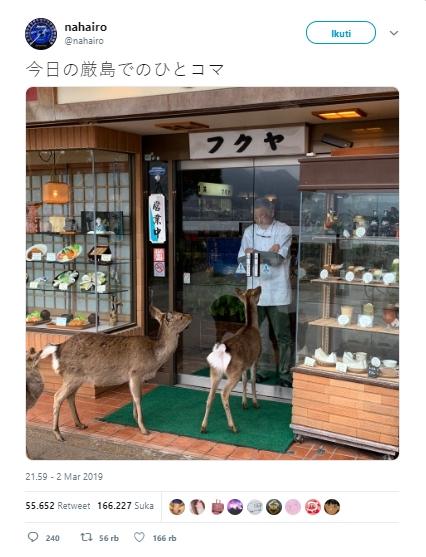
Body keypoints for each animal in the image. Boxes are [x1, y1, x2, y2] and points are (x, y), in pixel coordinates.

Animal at [40, 306, 191, 440]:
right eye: (181, 316)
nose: (190, 316)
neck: (154, 357)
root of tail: (58, 349)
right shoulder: (135, 372)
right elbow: (137, 398)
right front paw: (144, 429)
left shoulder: (137, 377)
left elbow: (135, 397)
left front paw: (135, 419)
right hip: (71, 376)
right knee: (57, 396)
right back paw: (58, 433)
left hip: (76, 378)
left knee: (70, 396)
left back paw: (80, 424)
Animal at [201, 286, 262, 434]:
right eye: (255, 292)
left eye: (251, 290)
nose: (260, 287)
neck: (252, 326)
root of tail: (222, 350)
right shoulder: (255, 359)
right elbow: (252, 380)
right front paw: (255, 403)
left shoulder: (245, 365)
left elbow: (245, 380)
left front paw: (244, 403)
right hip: (234, 373)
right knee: (223, 394)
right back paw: (233, 426)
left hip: (215, 372)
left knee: (210, 397)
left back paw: (203, 427)